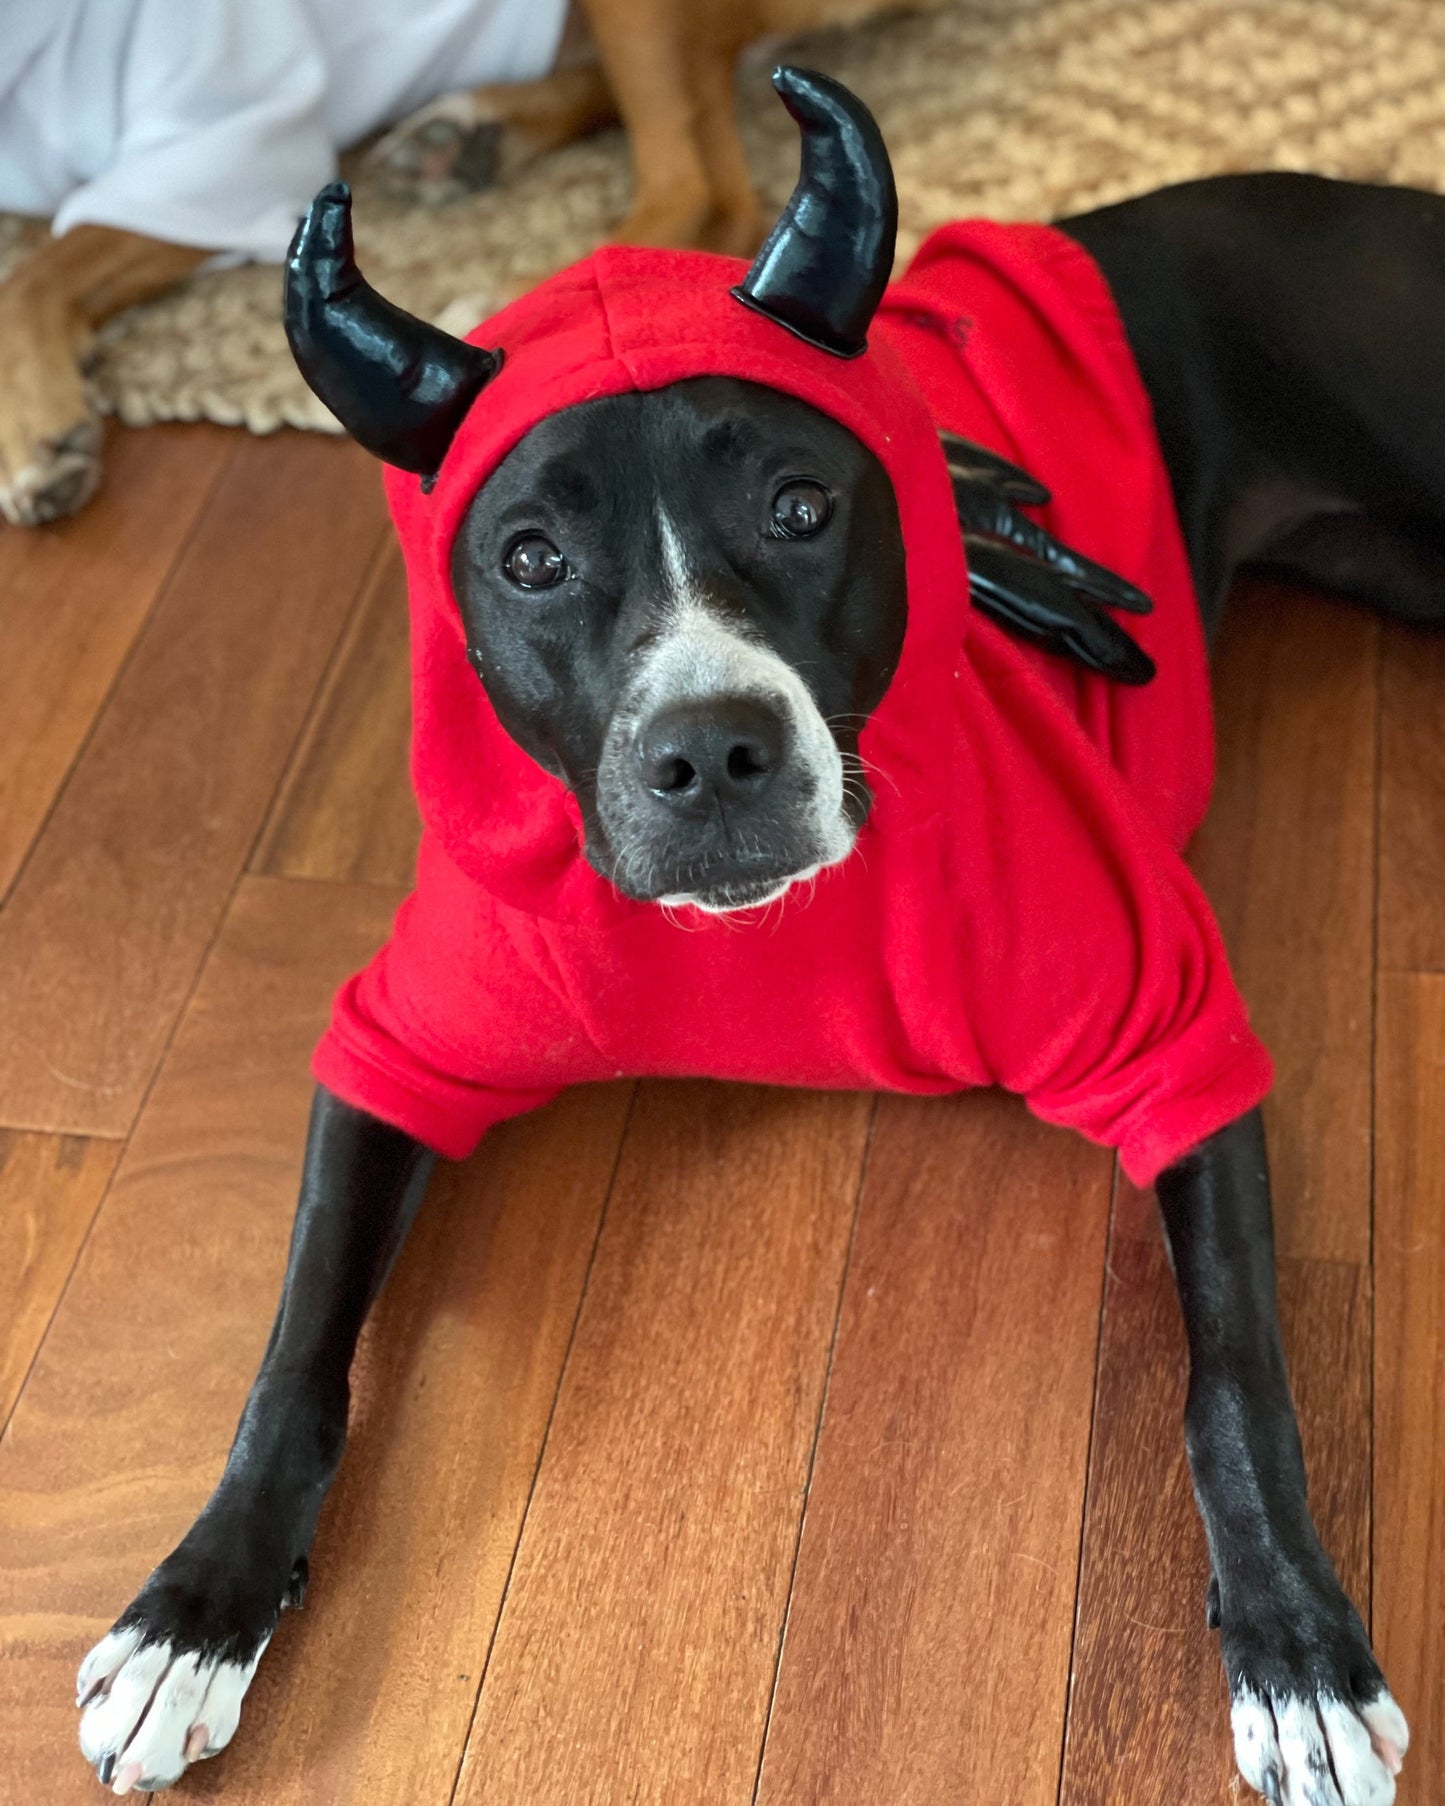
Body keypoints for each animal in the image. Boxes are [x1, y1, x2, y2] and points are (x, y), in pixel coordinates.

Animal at [70, 74, 1423, 1806]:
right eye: (529, 557)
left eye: (799, 505)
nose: (712, 752)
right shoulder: (396, 1047)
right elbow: (293, 1357)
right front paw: (194, 1607)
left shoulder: (1174, 1030)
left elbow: (1235, 1375)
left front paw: (1296, 1648)